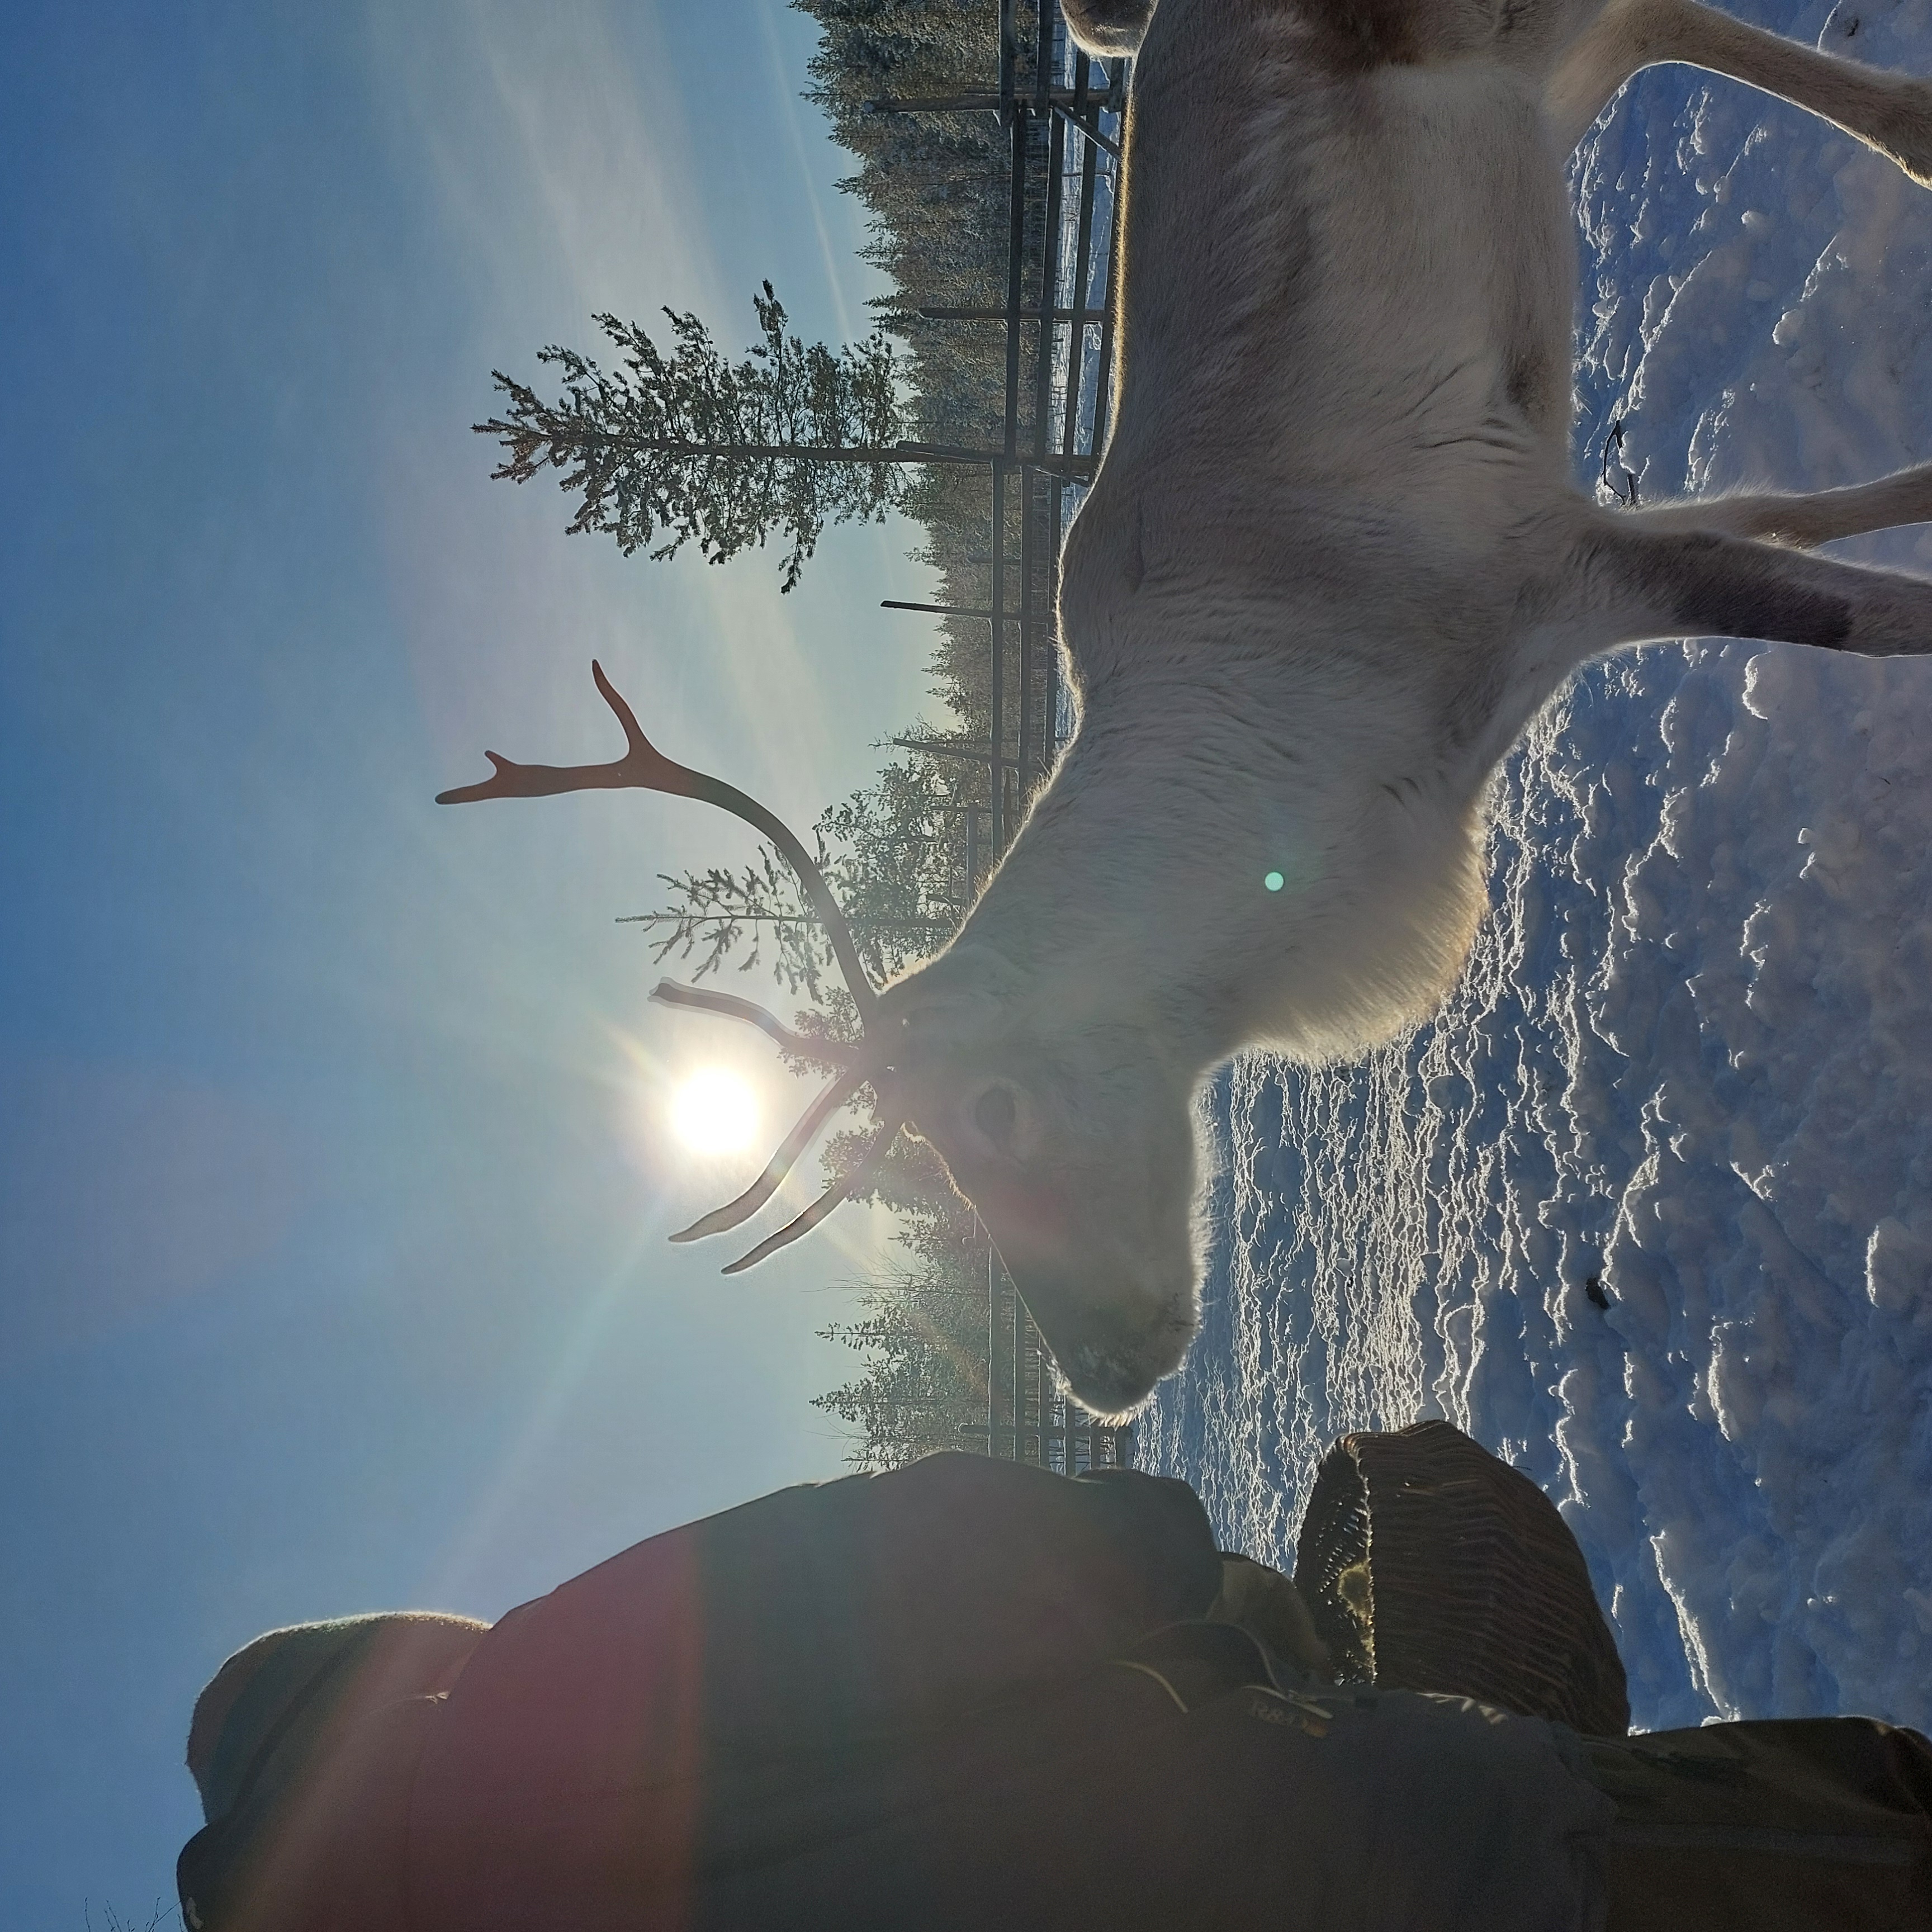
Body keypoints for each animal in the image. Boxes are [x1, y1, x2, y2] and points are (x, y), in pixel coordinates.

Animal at [443, 0, 1932, 1419]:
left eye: (993, 1112)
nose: (1096, 1375)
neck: (1343, 789)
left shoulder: (1537, 564)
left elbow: (1868, 612)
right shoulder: (1559, 548)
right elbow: (1792, 509)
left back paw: (1906, 127)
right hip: (1532, 99)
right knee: (1649, 26)